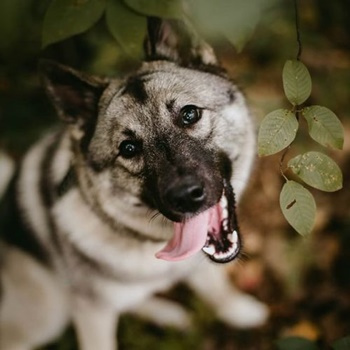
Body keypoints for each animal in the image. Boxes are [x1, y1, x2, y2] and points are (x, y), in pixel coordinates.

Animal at [0, 17, 268, 350]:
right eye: (128, 148)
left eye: (189, 114)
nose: (186, 196)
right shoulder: (92, 314)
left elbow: (215, 288)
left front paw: (236, 309)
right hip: (46, 314)